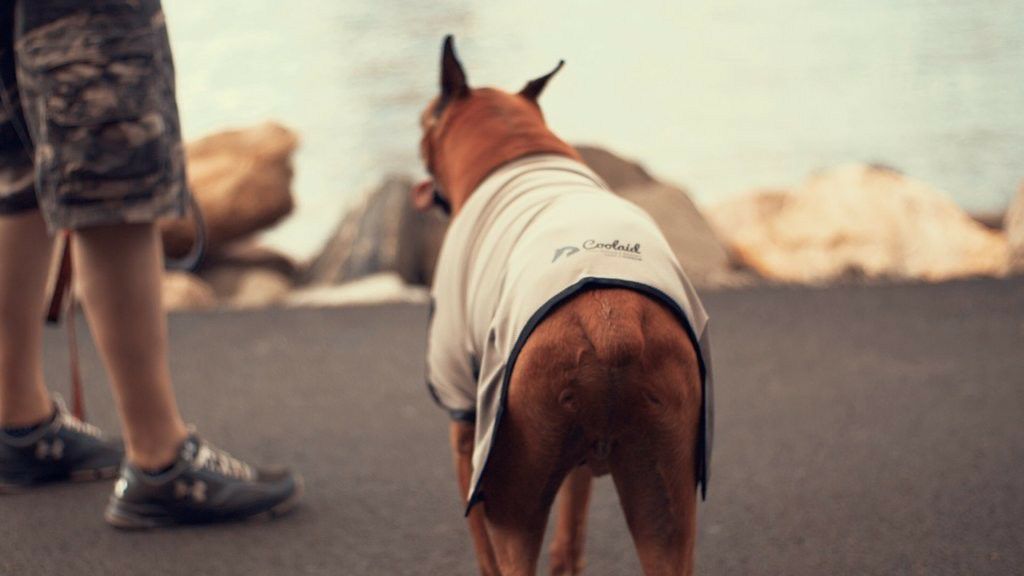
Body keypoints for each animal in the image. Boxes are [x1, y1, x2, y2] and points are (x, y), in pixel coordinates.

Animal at [414, 36, 713, 576]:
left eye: (424, 120)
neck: (519, 149)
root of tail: (612, 324)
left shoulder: (464, 423)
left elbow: (483, 553)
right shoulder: (575, 474)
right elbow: (571, 536)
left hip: (511, 495)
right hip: (667, 500)